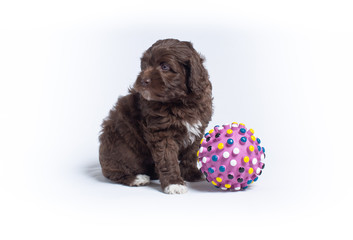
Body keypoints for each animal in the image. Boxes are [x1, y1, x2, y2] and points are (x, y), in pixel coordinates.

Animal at [99, 38, 214, 194]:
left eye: (165, 67)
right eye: (145, 66)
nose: (143, 80)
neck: (180, 102)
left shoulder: (198, 128)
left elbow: (191, 153)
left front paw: (192, 173)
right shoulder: (162, 133)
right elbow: (167, 158)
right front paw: (174, 183)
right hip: (119, 147)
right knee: (115, 171)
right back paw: (137, 178)